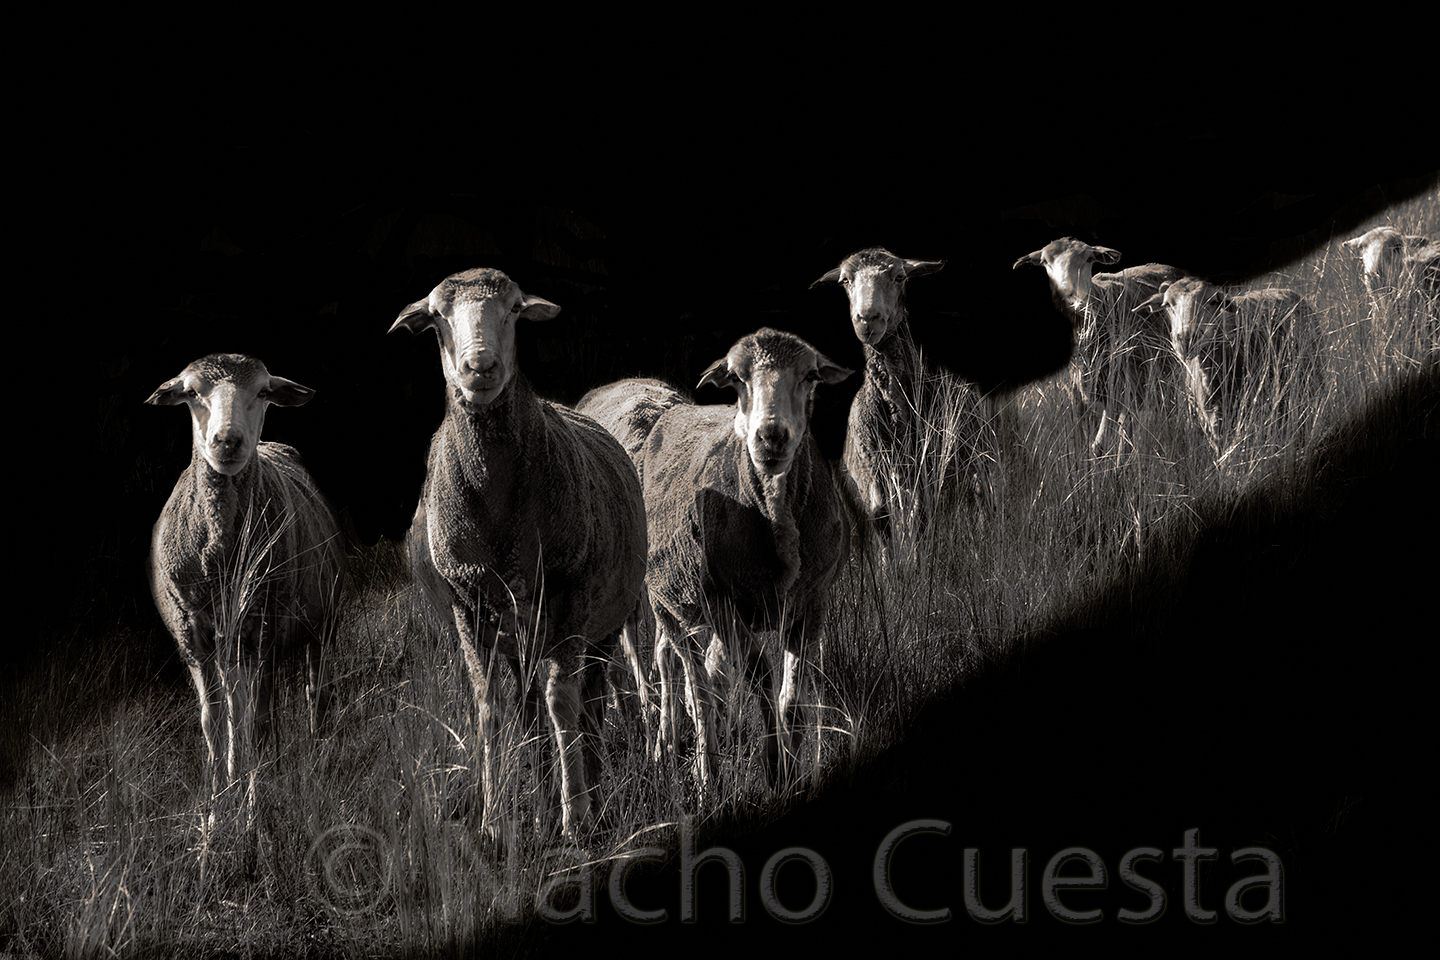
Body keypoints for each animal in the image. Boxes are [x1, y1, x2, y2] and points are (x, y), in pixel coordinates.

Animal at [146, 351, 345, 794]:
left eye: (264, 391)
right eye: (191, 393)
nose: (227, 441)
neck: (221, 556)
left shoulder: (266, 625)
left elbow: (259, 723)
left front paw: (256, 801)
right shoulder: (193, 636)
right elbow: (214, 723)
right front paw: (218, 800)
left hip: (320, 622)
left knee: (316, 692)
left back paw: (319, 751)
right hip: (232, 644)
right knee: (237, 709)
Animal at [388, 266, 648, 834]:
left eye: (513, 309)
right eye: (437, 317)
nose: (479, 367)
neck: (497, 504)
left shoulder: (572, 596)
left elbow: (562, 702)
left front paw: (577, 816)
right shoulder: (468, 608)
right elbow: (490, 710)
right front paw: (494, 819)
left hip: (601, 624)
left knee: (591, 699)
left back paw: (590, 787)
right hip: (518, 636)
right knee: (529, 708)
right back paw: (545, 795)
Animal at [581, 328, 852, 788]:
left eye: (811, 375)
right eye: (736, 378)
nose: (771, 436)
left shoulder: (812, 603)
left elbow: (792, 699)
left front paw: (792, 768)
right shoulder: (722, 603)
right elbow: (759, 677)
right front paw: (774, 765)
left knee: (695, 673)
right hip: (668, 601)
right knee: (685, 677)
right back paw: (695, 764)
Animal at [1013, 238, 1180, 451]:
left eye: (1089, 258)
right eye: (1044, 261)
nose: (1070, 296)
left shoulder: (1118, 387)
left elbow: (1098, 444)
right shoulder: (1077, 394)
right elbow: (1082, 440)